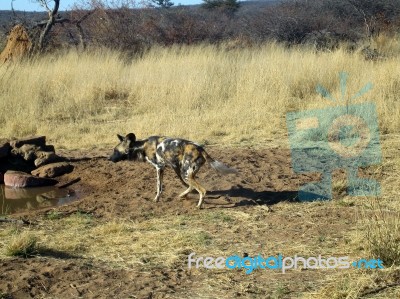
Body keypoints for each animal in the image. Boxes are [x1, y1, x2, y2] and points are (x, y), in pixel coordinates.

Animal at [108, 134, 236, 209]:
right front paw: (185, 196)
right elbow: (186, 186)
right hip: (186, 173)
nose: (108, 158)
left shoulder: (159, 168)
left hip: (186, 174)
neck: (142, 147)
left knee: (202, 190)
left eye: (115, 151)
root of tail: (200, 149)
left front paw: (156, 199)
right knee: (192, 185)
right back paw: (183, 196)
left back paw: (198, 206)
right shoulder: (174, 167)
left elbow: (159, 187)